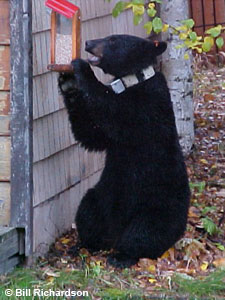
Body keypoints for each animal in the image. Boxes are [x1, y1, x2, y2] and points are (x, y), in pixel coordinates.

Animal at [58, 34, 190, 268]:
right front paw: (68, 83)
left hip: (158, 206)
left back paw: (121, 256)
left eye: (113, 40)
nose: (88, 43)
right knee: (88, 211)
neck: (132, 80)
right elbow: (94, 135)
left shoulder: (148, 107)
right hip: (102, 196)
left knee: (145, 231)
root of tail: (116, 232)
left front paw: (82, 68)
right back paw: (85, 244)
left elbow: (113, 111)